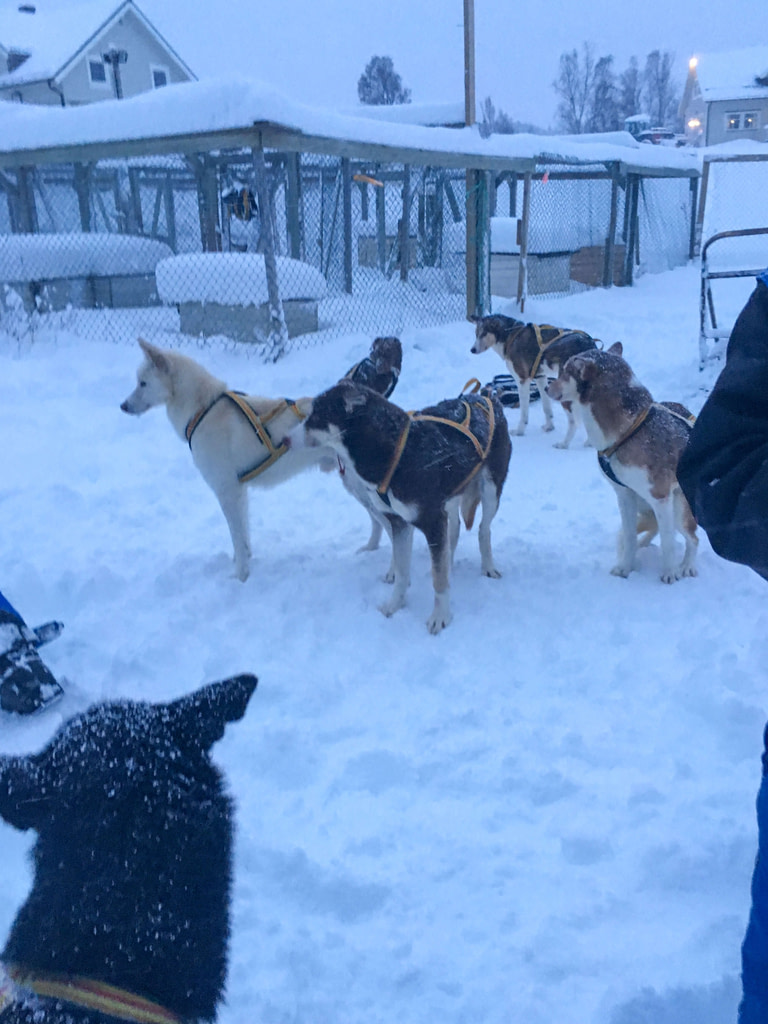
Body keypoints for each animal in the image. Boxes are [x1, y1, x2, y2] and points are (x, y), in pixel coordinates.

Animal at [120, 339, 325, 581]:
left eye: (142, 383)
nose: (123, 405)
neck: (202, 410)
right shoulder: (239, 490)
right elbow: (243, 537)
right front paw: (243, 561)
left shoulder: (227, 490)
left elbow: (237, 535)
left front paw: (241, 576)